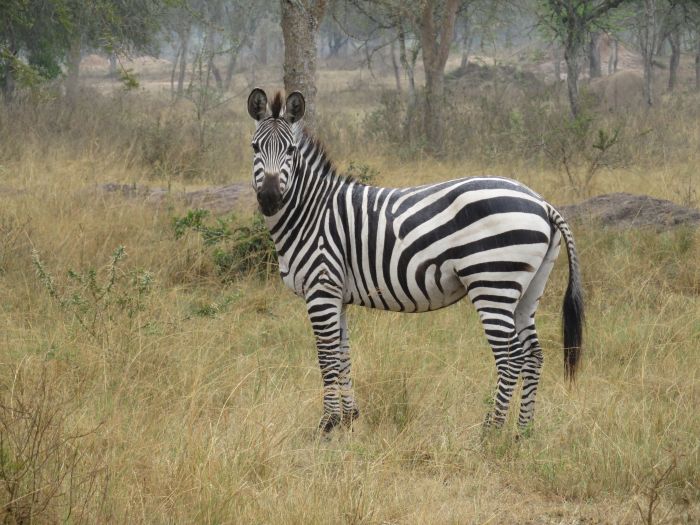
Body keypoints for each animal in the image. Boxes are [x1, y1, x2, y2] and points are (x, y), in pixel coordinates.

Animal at [247, 89, 584, 434]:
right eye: (255, 147)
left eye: (290, 150)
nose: (270, 199)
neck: (310, 212)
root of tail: (542, 203)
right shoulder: (336, 294)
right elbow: (343, 354)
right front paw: (349, 419)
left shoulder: (321, 289)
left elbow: (327, 357)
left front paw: (327, 425)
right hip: (528, 289)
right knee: (534, 355)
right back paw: (522, 433)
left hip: (492, 282)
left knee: (511, 357)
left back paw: (491, 432)